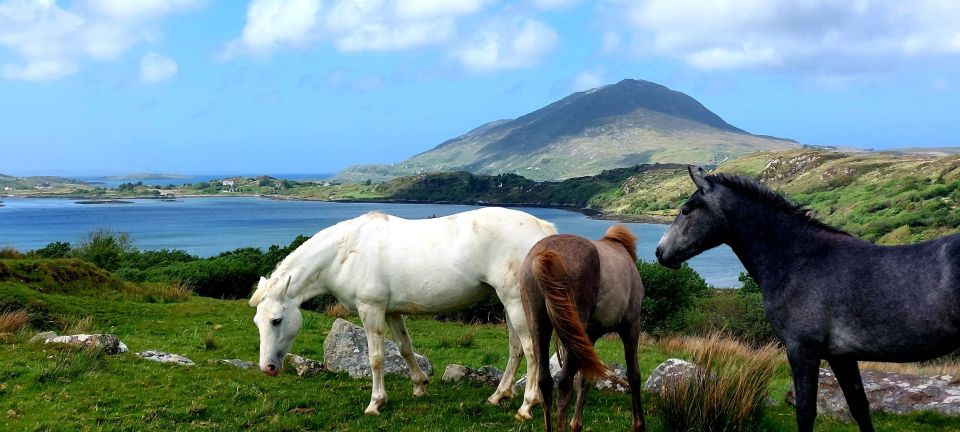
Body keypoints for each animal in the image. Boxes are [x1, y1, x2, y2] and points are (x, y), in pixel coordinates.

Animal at [249, 208, 556, 416]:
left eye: (276, 320)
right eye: (257, 322)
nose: (267, 368)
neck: (344, 253)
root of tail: (543, 230)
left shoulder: (371, 309)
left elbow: (376, 357)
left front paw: (376, 403)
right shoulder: (392, 311)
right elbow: (405, 348)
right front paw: (420, 385)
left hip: (515, 301)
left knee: (530, 349)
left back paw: (527, 406)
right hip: (510, 303)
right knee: (516, 348)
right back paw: (498, 396)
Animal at [520, 226, 648, 432]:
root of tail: (546, 253)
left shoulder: (589, 336)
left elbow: (585, 379)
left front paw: (577, 423)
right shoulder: (631, 327)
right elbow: (634, 375)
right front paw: (639, 424)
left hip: (539, 326)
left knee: (545, 383)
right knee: (564, 385)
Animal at [656, 166, 960, 432]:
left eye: (686, 209)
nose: (660, 252)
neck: (799, 259)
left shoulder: (802, 349)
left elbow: (805, 412)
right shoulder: (842, 356)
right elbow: (859, 407)